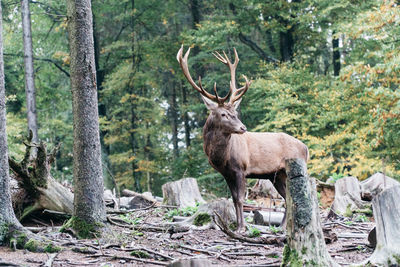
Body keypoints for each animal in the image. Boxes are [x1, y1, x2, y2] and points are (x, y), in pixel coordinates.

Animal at [176, 46, 310, 232]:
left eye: (235, 112)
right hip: (276, 175)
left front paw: (241, 228)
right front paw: (238, 227)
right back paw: (281, 227)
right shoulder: (226, 173)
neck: (221, 157)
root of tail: (306, 148)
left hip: (294, 168)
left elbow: (240, 199)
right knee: (286, 197)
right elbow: (233, 199)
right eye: (223, 114)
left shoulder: (241, 168)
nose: (243, 128)